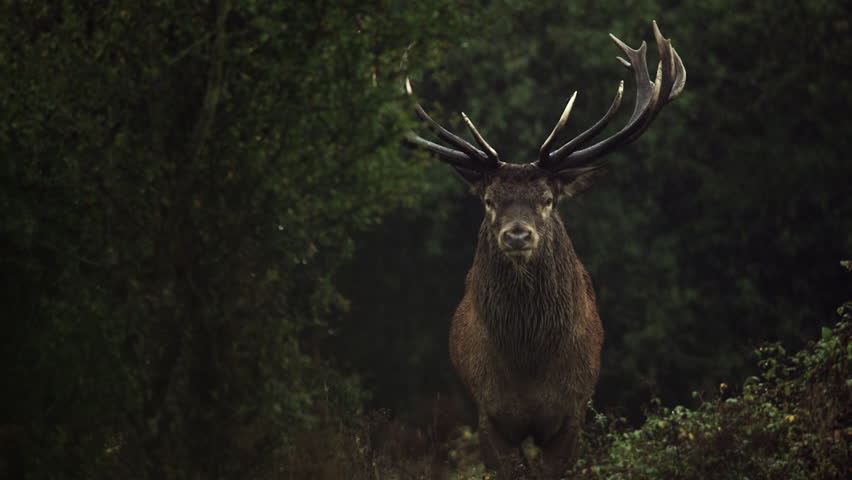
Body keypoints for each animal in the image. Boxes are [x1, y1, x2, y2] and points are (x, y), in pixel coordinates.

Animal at [404, 22, 686, 478]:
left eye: (549, 199)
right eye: (489, 201)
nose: (518, 235)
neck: (529, 365)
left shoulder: (572, 412)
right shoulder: (488, 413)